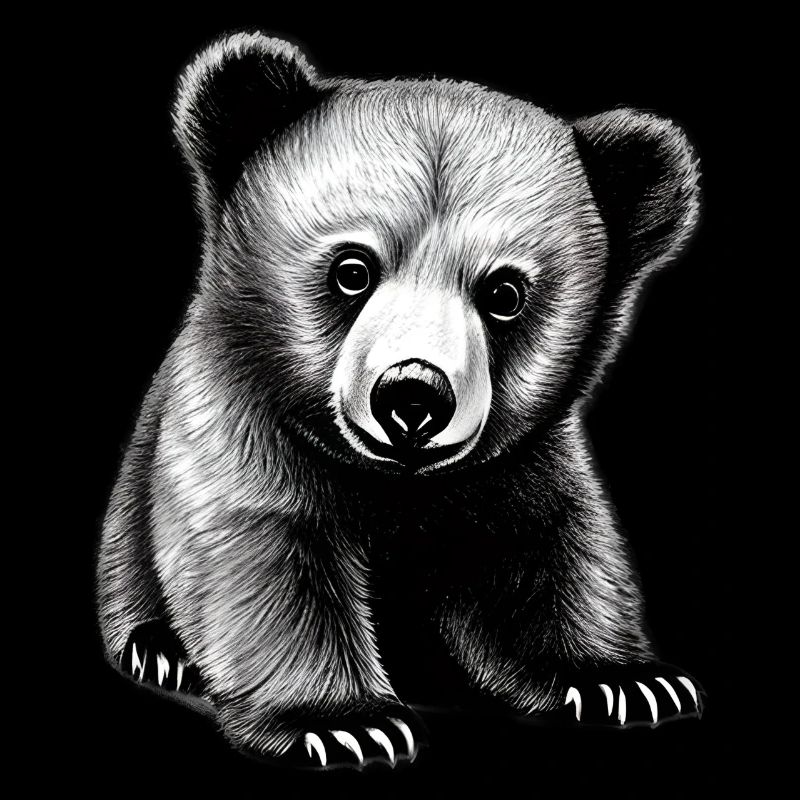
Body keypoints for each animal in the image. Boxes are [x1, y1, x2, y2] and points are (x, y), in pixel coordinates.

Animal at [96, 31, 704, 770]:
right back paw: (160, 650)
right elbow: (267, 556)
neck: (399, 485)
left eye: (504, 293)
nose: (413, 396)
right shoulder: (243, 424)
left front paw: (623, 679)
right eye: (352, 270)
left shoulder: (518, 469)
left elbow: (548, 553)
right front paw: (343, 723)